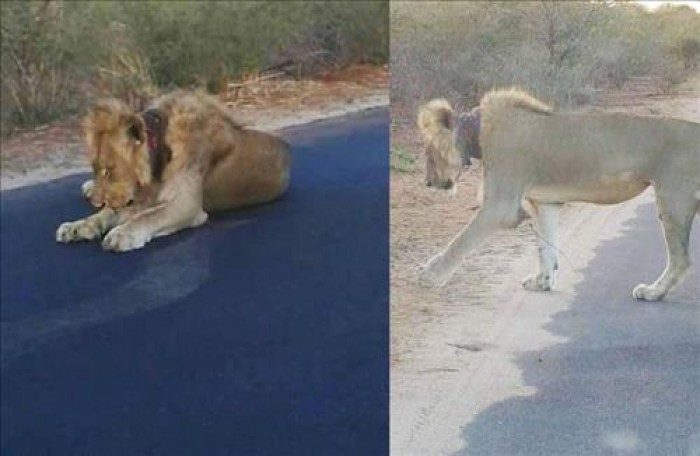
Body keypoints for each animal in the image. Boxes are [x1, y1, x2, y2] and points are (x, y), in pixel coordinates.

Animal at [55, 90, 292, 251]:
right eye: (95, 169)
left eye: (108, 170)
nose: (96, 202)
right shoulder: (139, 197)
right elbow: (107, 214)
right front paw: (76, 227)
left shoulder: (187, 205)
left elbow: (148, 217)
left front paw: (122, 234)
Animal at [418, 88, 700, 302]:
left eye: (429, 151)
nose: (428, 182)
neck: (478, 131)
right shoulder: (545, 203)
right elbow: (546, 247)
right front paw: (542, 282)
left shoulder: (500, 207)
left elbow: (460, 242)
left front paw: (431, 273)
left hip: (673, 198)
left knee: (681, 260)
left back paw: (653, 292)